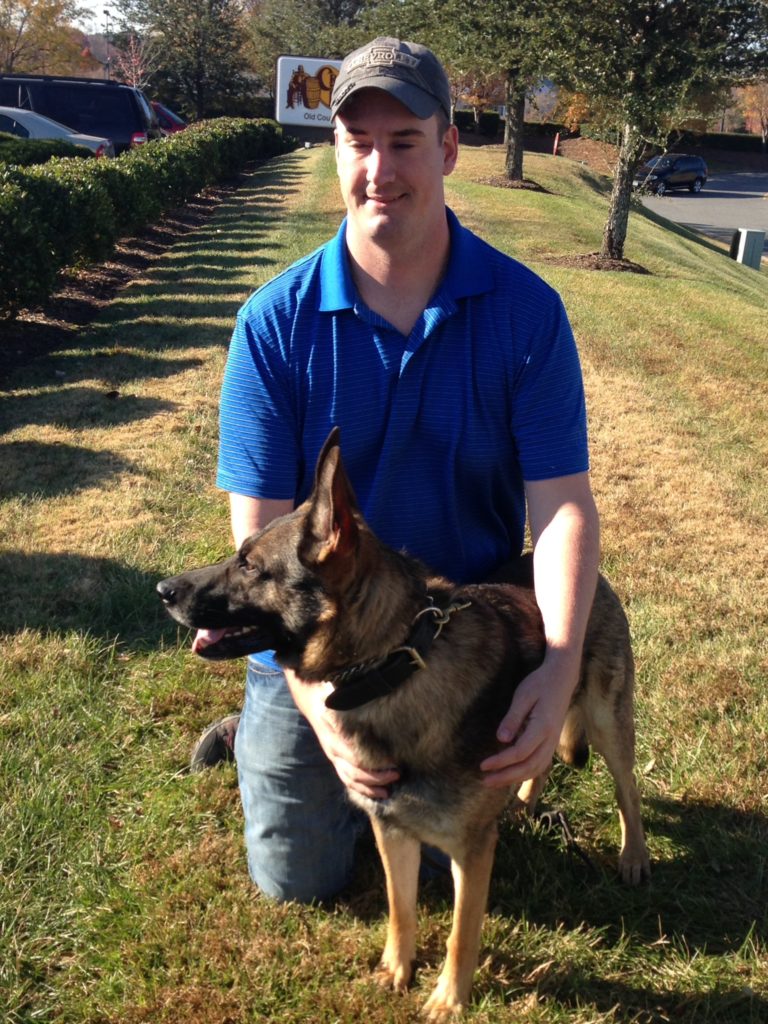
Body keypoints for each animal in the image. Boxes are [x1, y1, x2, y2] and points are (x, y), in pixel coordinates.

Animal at [159, 428, 651, 1019]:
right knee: (542, 758)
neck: (393, 664)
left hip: (607, 722)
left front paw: (448, 999)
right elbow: (401, 907)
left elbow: (462, 934)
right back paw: (524, 802)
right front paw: (397, 970)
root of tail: (591, 575)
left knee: (626, 789)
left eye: (250, 566)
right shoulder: (391, 828)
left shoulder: (470, 852)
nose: (162, 590)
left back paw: (633, 856)